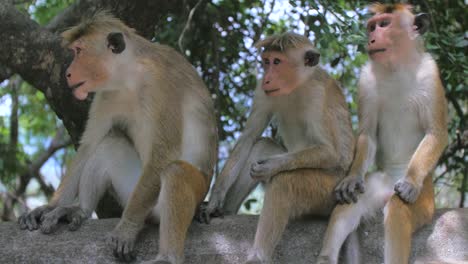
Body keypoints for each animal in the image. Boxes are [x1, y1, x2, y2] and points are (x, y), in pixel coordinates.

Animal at [16, 11, 218, 262]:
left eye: (79, 51)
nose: (68, 73)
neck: (131, 77)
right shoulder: (106, 95)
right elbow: (89, 145)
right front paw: (50, 206)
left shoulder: (163, 84)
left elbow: (164, 153)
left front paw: (127, 228)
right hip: (133, 192)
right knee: (108, 143)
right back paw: (79, 210)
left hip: (167, 197)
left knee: (176, 172)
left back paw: (167, 256)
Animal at [199, 33, 356, 264]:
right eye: (266, 61)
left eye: (277, 62)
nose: (267, 77)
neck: (298, 86)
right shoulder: (263, 91)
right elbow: (249, 138)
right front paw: (214, 201)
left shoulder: (317, 97)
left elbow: (330, 152)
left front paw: (273, 165)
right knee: (261, 146)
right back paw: (226, 210)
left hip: (328, 192)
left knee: (285, 182)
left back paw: (257, 256)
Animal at [316, 3, 448, 264]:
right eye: (371, 26)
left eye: (385, 24)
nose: (371, 38)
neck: (396, 68)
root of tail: (388, 187)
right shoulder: (365, 79)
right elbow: (368, 134)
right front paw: (351, 178)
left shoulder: (431, 73)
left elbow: (436, 133)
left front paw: (410, 181)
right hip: (378, 184)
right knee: (351, 206)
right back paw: (327, 256)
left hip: (425, 196)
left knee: (398, 208)